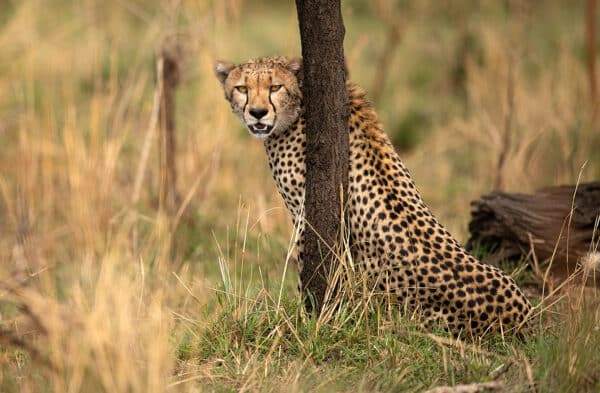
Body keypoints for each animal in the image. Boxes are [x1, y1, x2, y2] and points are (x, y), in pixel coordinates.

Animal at [214, 56, 528, 336]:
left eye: (275, 87)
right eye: (242, 88)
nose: (257, 113)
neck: (299, 107)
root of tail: (521, 320)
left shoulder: (305, 218)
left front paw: (309, 316)